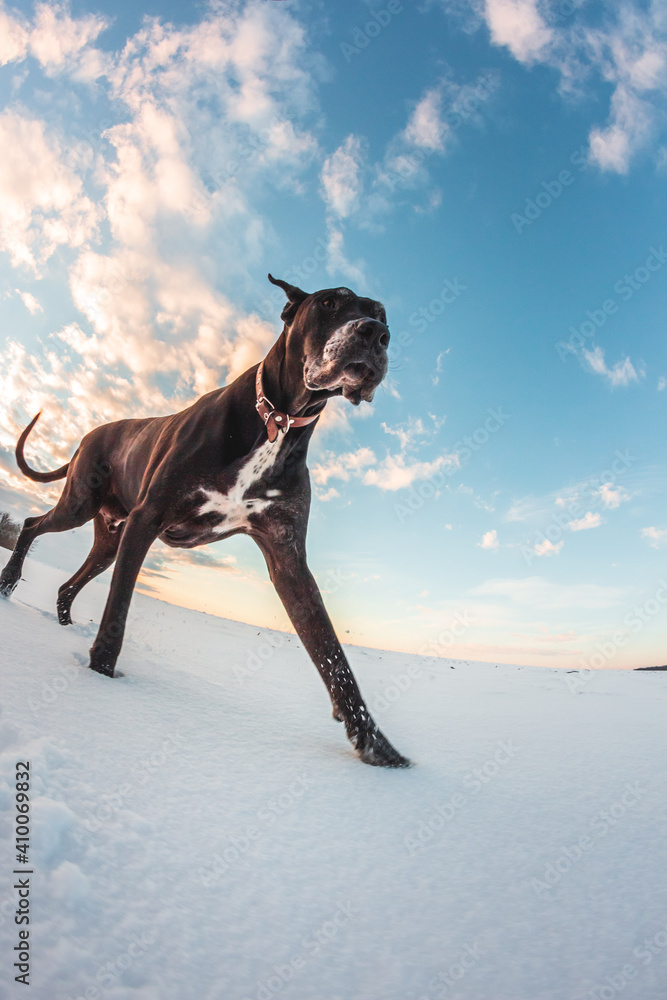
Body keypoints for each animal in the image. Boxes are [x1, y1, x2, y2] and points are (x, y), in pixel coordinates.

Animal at [1, 278, 412, 768]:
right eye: (330, 301)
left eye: (383, 316)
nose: (375, 335)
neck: (277, 420)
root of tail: (88, 434)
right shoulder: (147, 518)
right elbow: (118, 611)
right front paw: (102, 675)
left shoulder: (288, 558)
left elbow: (333, 656)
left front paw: (376, 745)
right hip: (81, 504)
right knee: (30, 523)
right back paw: (7, 584)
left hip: (109, 537)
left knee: (70, 579)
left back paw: (61, 619)